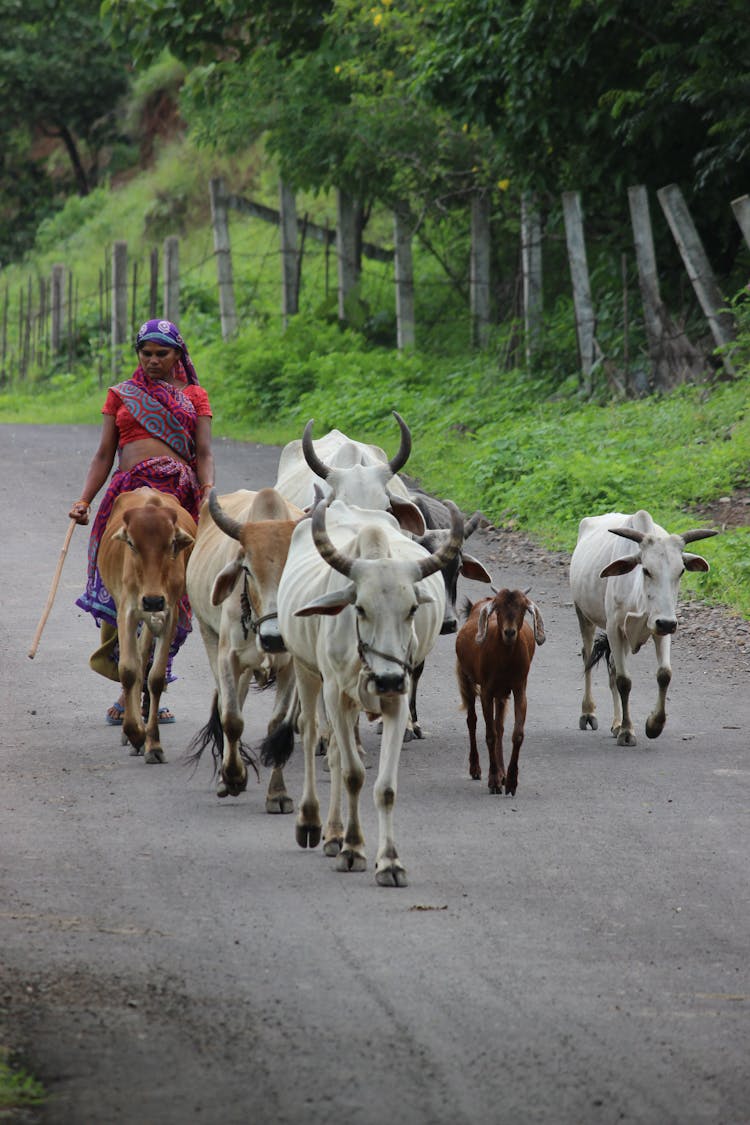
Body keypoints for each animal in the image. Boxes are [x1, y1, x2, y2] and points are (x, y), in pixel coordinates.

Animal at [96, 486, 196, 765]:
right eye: (131, 544)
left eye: (171, 543)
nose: (152, 600)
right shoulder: (127, 611)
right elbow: (128, 670)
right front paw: (135, 734)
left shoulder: (168, 613)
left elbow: (156, 677)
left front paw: (153, 744)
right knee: (136, 662)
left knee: (143, 658)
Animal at [185, 486, 305, 810]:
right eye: (248, 570)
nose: (275, 638)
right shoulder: (228, 657)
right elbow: (232, 719)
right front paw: (233, 778)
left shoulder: (291, 665)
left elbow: (277, 726)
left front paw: (278, 794)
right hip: (210, 636)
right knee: (231, 703)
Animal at [454, 589, 548, 792]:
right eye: (498, 608)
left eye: (522, 607)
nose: (510, 632)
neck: (505, 660)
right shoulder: (487, 691)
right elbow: (490, 735)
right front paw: (493, 780)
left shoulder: (519, 688)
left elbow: (515, 734)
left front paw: (511, 780)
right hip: (467, 679)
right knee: (472, 721)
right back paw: (476, 768)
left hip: (502, 693)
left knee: (499, 726)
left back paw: (502, 771)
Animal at [571, 513, 719, 747]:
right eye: (646, 569)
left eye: (681, 571)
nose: (666, 623)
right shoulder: (614, 629)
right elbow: (624, 681)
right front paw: (627, 732)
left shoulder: (663, 627)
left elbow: (664, 674)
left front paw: (653, 725)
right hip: (583, 614)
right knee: (588, 657)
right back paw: (588, 713)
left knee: (612, 668)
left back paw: (616, 723)